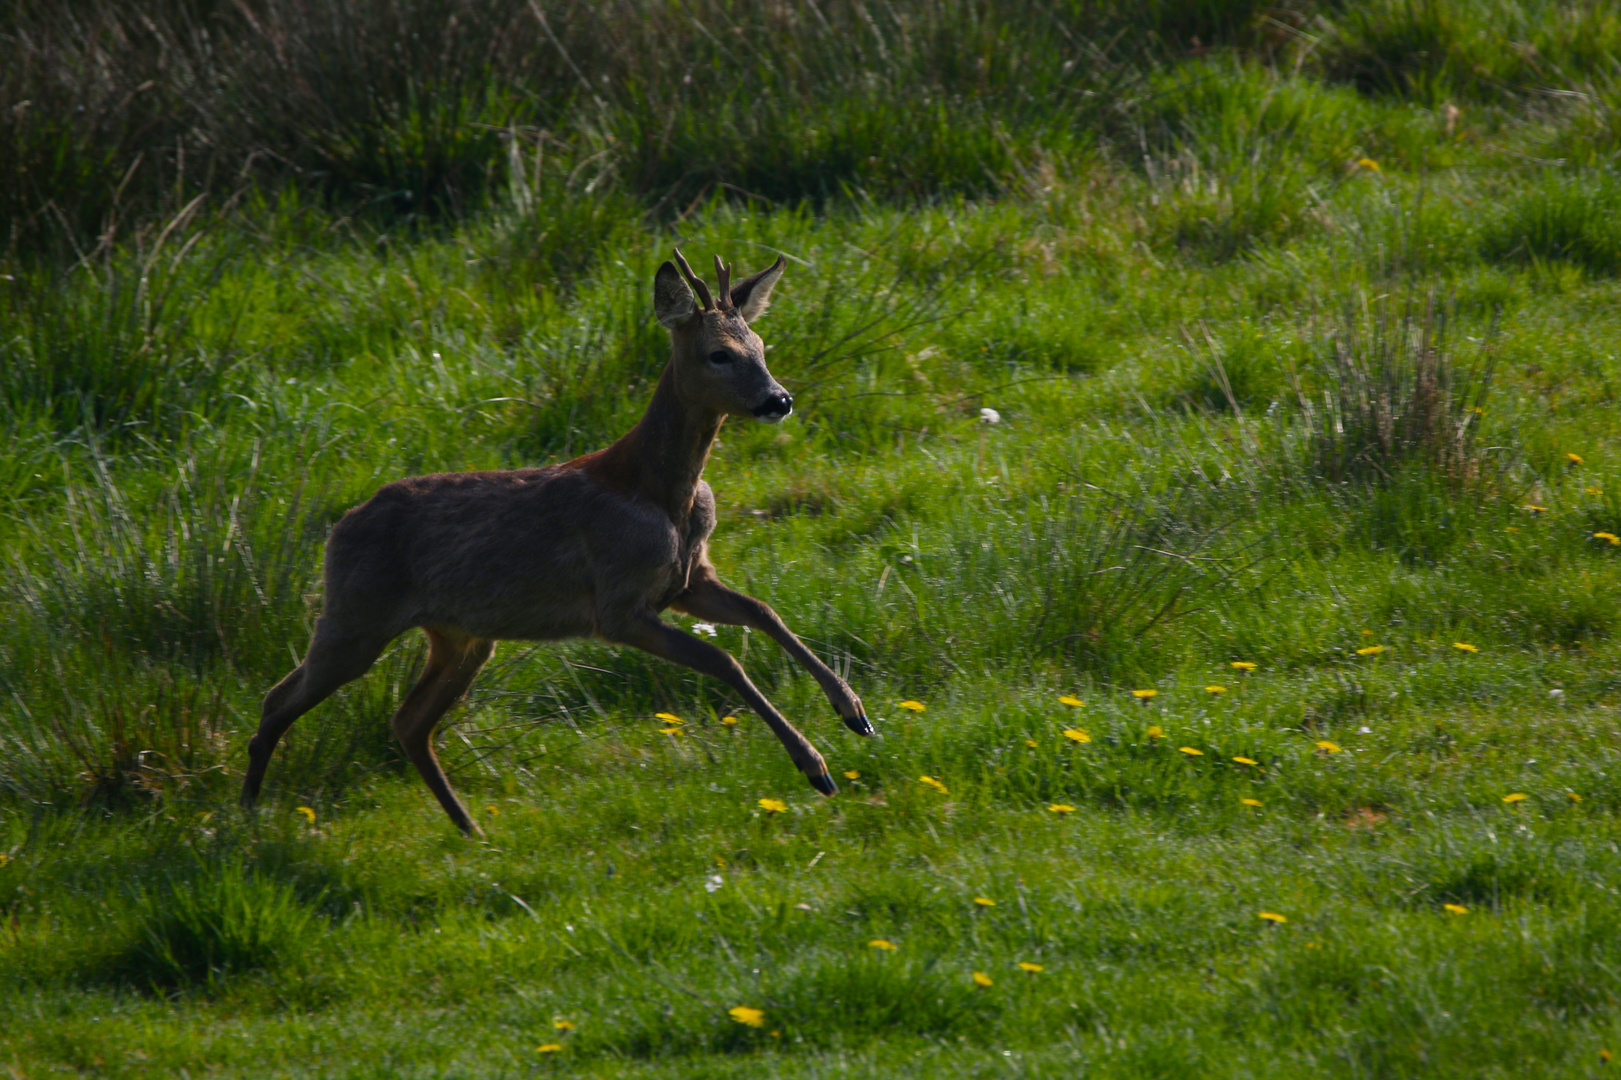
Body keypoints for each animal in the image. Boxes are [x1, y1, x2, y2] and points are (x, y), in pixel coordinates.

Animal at [239, 252, 868, 830]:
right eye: (720, 353)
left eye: (760, 344)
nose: (779, 400)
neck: (658, 491)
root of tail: (340, 527)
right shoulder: (616, 605)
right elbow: (723, 659)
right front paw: (814, 765)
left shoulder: (687, 581)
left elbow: (765, 612)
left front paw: (853, 711)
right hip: (356, 614)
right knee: (279, 699)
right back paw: (246, 816)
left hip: (460, 637)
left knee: (408, 721)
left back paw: (470, 830)